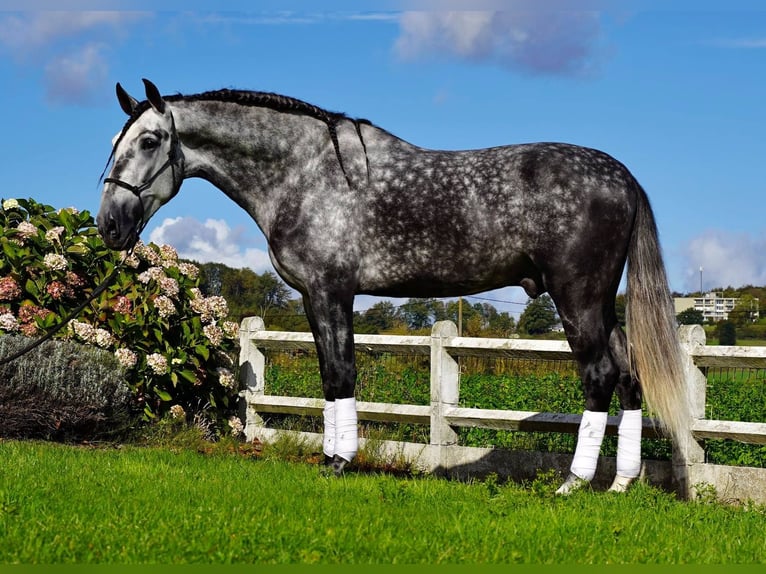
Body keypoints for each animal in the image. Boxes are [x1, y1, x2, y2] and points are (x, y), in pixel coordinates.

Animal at [97, 79, 691, 494]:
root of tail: (622, 177)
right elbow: (330, 375)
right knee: (629, 374)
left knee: (600, 375)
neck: (305, 173)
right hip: (600, 303)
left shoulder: (330, 292)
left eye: (149, 140)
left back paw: (572, 483)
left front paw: (337, 463)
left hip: (577, 297)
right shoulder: (316, 298)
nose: (109, 225)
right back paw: (620, 484)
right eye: (115, 142)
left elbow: (339, 373)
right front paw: (333, 457)